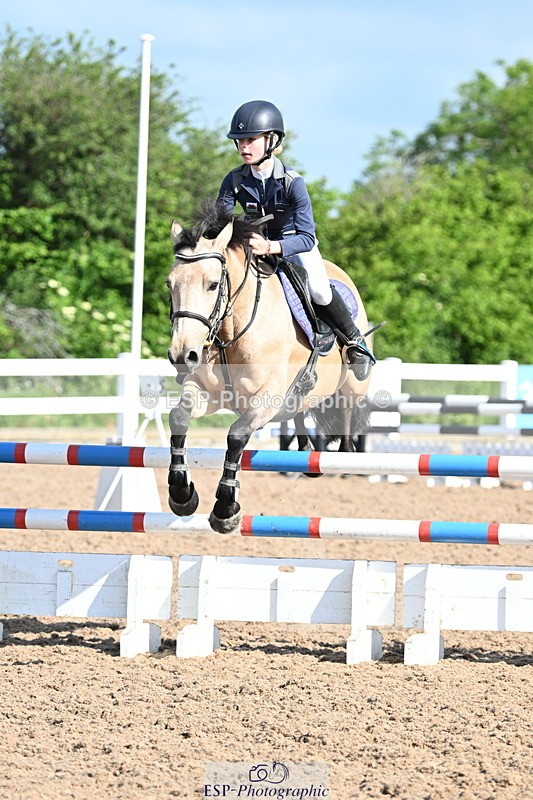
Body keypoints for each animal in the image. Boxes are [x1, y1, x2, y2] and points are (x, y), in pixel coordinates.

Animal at [166, 199, 372, 533]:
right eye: (169, 284)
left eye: (213, 285)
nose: (182, 355)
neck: (231, 332)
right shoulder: (206, 391)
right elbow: (179, 418)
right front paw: (182, 495)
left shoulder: (267, 398)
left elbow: (237, 435)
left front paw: (225, 510)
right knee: (301, 413)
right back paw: (307, 454)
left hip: (353, 382)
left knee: (349, 409)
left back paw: (347, 454)